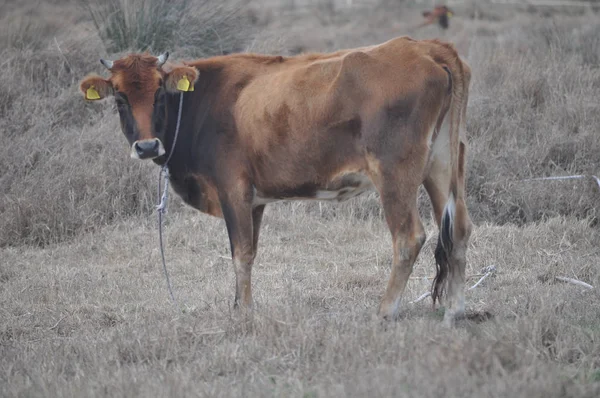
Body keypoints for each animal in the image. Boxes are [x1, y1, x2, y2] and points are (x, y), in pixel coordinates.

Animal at [81, 35, 474, 324]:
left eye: (160, 92)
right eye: (119, 98)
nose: (147, 145)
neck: (200, 101)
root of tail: (424, 47)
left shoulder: (234, 191)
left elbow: (240, 253)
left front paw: (243, 315)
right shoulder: (254, 201)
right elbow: (249, 253)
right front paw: (239, 306)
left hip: (394, 172)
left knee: (408, 237)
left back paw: (384, 310)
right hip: (442, 165)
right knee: (459, 229)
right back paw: (455, 309)